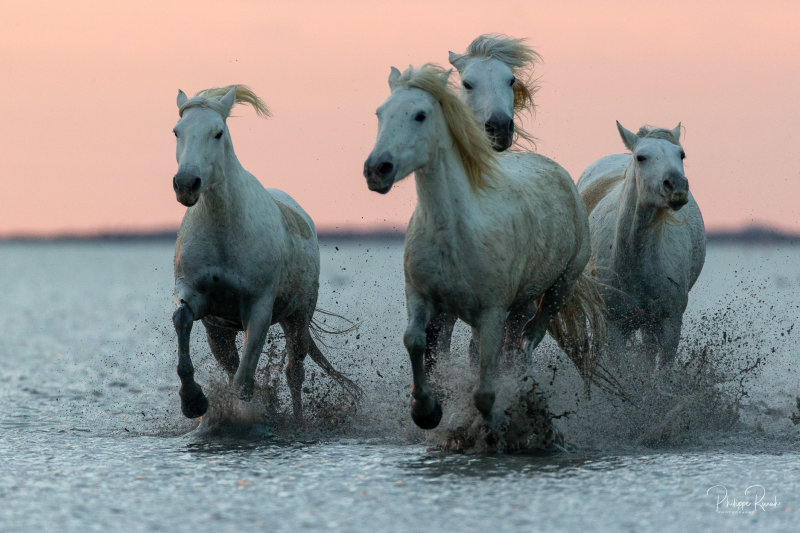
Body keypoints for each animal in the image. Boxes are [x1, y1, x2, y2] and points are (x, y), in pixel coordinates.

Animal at [172, 84, 360, 420]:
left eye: (218, 132)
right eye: (177, 131)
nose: (186, 183)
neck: (224, 231)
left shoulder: (259, 311)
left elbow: (244, 380)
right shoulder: (197, 300)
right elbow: (181, 319)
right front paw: (193, 401)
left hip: (297, 318)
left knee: (294, 371)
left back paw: (298, 421)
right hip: (220, 332)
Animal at [360, 65, 600, 428]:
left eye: (420, 115)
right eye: (380, 113)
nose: (377, 170)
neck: (456, 234)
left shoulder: (491, 312)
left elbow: (485, 391)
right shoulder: (420, 295)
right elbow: (415, 340)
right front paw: (426, 410)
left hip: (560, 288)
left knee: (528, 340)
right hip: (519, 301)